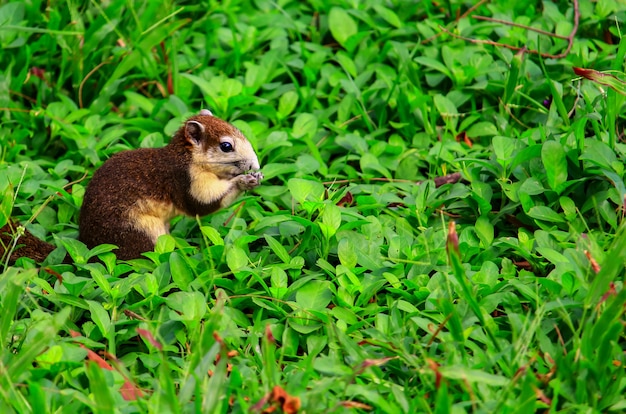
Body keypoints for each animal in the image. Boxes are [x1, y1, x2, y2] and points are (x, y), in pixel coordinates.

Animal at [1, 110, 260, 262]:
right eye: (226, 146)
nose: (255, 164)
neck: (186, 157)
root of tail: (90, 251)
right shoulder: (184, 180)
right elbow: (201, 205)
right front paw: (244, 181)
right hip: (141, 232)